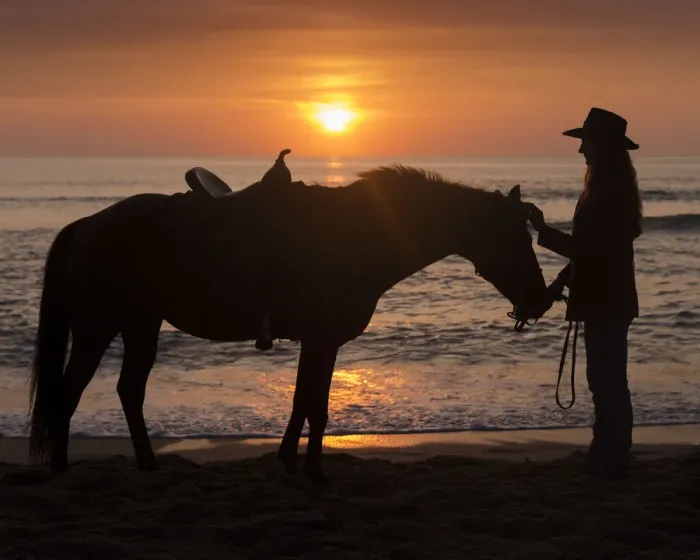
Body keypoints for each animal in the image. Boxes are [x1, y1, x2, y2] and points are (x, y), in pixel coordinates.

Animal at [28, 165, 551, 481]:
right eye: (515, 238)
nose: (541, 299)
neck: (360, 233)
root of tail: (86, 226)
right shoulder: (323, 339)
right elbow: (316, 406)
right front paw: (314, 472)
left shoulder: (317, 341)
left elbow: (303, 401)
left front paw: (288, 462)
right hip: (98, 327)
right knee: (69, 393)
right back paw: (61, 470)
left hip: (141, 324)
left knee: (128, 391)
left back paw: (148, 466)